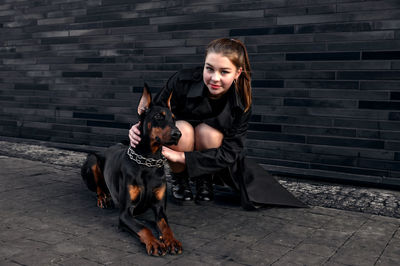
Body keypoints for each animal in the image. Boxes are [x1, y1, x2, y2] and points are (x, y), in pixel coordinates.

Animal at [81, 85, 183, 256]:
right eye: (158, 116)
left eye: (174, 118)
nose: (178, 134)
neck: (148, 161)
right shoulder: (126, 213)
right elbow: (143, 227)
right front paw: (155, 243)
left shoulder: (159, 209)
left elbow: (166, 226)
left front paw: (172, 241)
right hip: (92, 161)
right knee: (98, 186)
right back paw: (103, 198)